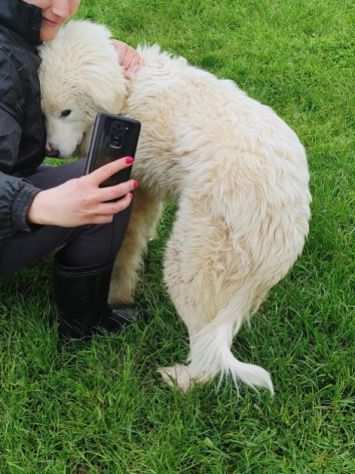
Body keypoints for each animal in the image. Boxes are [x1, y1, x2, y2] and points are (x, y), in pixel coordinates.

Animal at [38, 21, 312, 392]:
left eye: (65, 112)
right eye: (44, 111)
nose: (51, 150)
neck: (128, 89)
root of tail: (285, 214)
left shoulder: (132, 187)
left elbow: (124, 252)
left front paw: (117, 295)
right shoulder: (146, 188)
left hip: (190, 264)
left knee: (208, 354)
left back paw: (179, 379)